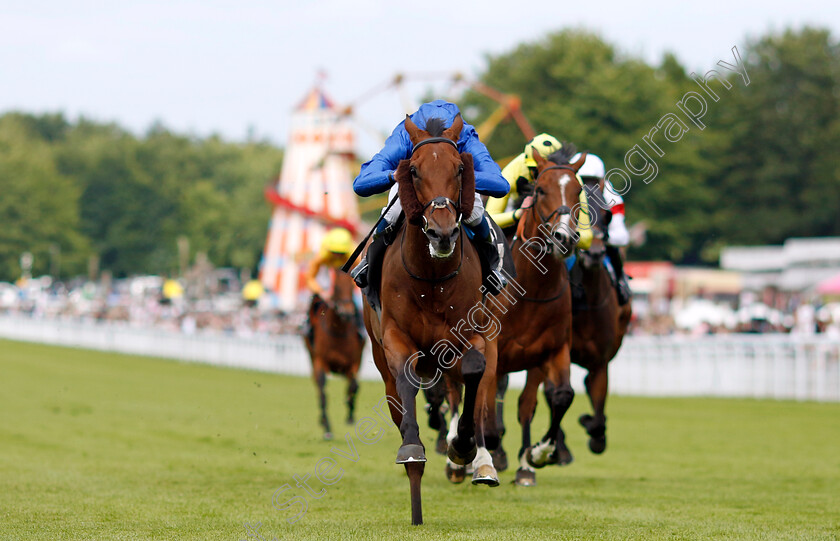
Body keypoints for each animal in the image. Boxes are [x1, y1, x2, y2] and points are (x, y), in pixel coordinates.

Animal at [306, 272, 364, 440]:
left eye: (352, 286)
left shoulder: (354, 362)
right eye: (336, 287)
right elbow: (323, 391)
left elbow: (353, 386)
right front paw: (327, 427)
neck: (338, 329)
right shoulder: (320, 361)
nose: (346, 312)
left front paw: (350, 416)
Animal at [482, 144, 588, 486]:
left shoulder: (552, 350)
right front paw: (483, 455)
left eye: (579, 190)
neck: (531, 291)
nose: (564, 238)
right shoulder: (491, 350)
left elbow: (561, 396)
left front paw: (538, 455)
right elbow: (485, 407)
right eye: (540, 190)